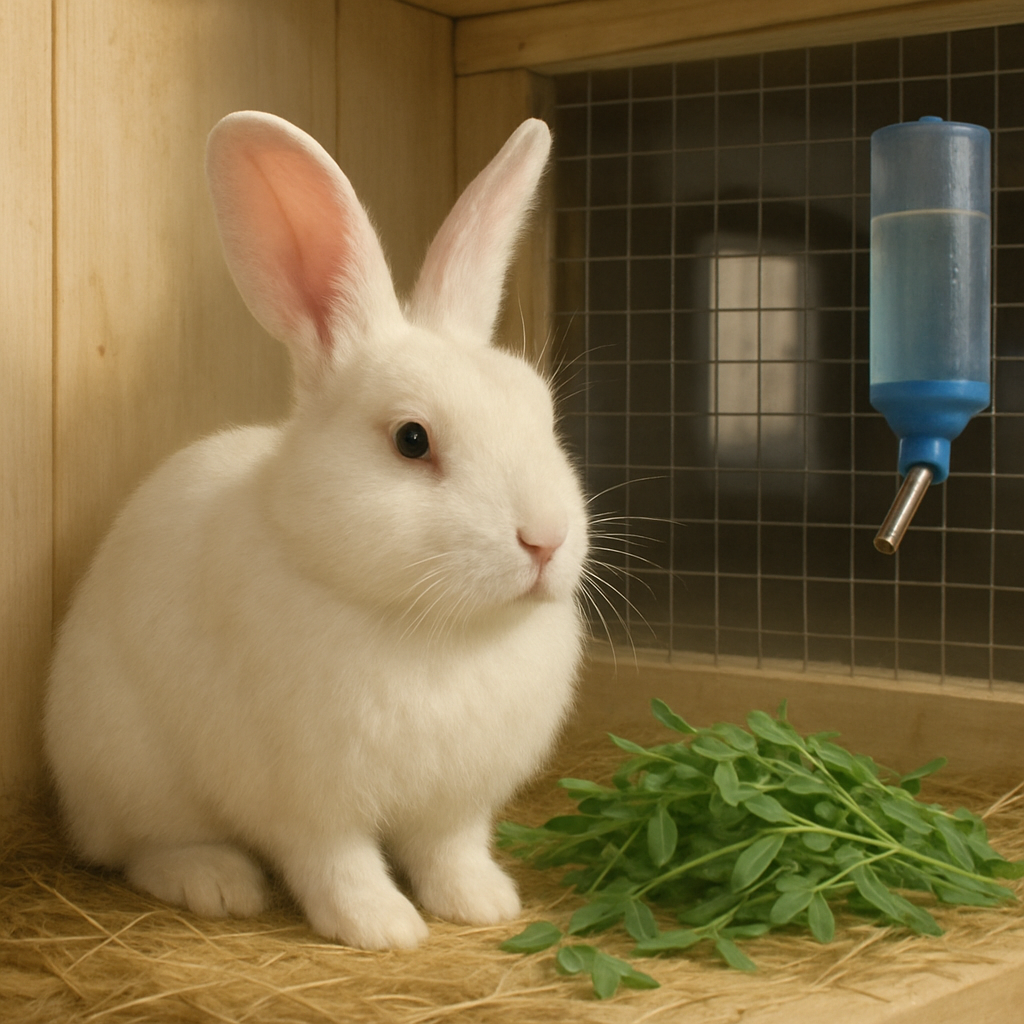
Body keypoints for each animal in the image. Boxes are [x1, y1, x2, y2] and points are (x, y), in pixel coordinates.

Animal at [43, 111, 588, 951]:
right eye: (411, 440)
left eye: (546, 417)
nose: (545, 539)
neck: (433, 627)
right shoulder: (302, 800)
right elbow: (336, 862)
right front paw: (383, 929)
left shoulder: (454, 804)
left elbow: (450, 850)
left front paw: (484, 903)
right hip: (129, 769)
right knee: (141, 847)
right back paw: (216, 882)